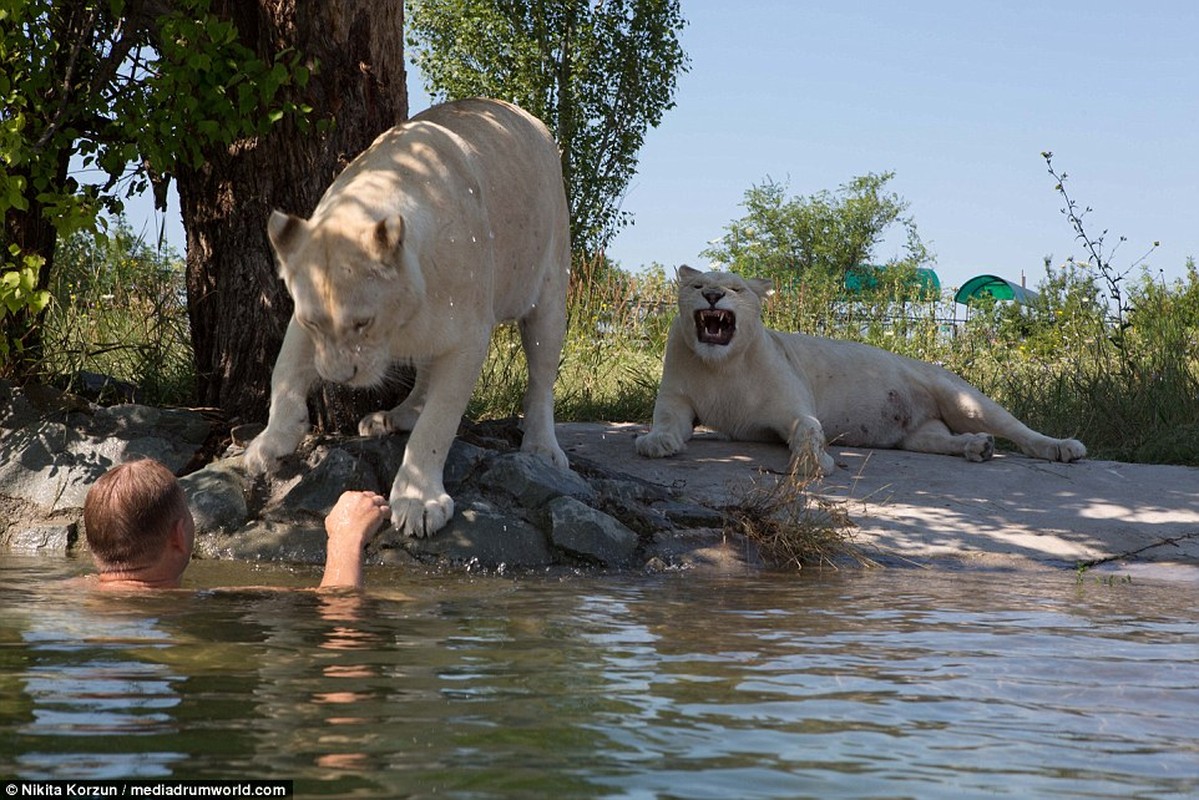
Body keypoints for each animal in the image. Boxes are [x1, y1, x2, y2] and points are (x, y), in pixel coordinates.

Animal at [243, 98, 570, 537]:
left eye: (362, 323)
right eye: (314, 323)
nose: (340, 378)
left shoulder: (470, 336)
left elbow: (438, 423)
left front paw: (418, 501)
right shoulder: (302, 319)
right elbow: (285, 370)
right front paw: (270, 443)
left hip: (549, 289)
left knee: (541, 379)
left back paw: (542, 448)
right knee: (424, 373)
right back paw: (395, 416)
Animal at [637, 266, 1088, 472]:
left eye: (735, 288)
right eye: (697, 286)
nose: (713, 295)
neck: (723, 366)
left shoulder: (795, 409)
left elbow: (808, 431)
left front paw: (814, 464)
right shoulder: (676, 401)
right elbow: (667, 423)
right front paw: (655, 443)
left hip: (963, 398)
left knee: (1019, 430)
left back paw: (1062, 447)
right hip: (919, 433)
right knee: (937, 440)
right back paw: (977, 447)